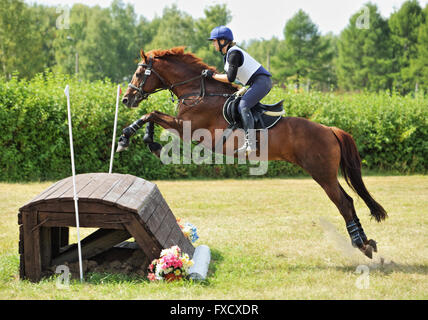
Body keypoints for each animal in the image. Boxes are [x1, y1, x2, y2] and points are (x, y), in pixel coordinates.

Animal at [118, 46, 386, 258]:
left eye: (139, 73)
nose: (126, 99)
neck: (198, 92)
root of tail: (330, 130)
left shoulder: (187, 128)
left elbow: (150, 114)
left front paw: (126, 138)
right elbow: (151, 115)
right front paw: (147, 142)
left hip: (322, 174)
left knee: (342, 203)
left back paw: (360, 244)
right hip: (325, 174)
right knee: (349, 200)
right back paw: (366, 242)